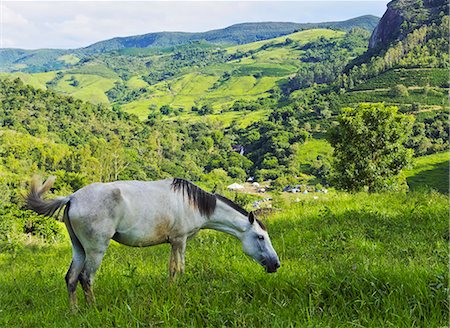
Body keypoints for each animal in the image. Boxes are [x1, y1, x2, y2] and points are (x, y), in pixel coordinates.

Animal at [26, 177, 280, 308]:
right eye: (260, 237)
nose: (275, 264)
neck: (194, 203)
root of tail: (72, 198)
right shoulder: (180, 241)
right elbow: (179, 269)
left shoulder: (173, 242)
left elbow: (171, 270)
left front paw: (169, 292)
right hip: (95, 250)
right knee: (85, 278)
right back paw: (92, 309)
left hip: (79, 249)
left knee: (71, 278)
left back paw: (75, 311)